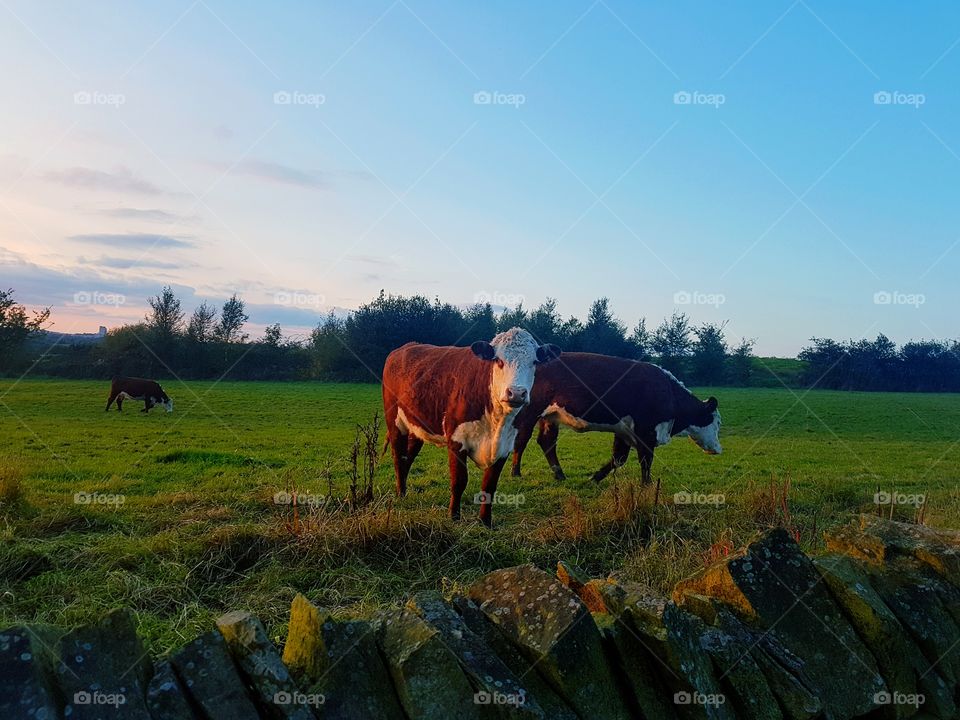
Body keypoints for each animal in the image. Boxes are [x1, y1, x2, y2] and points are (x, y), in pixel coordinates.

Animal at [382, 328, 561, 527]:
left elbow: (489, 485)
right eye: (498, 360)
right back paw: (401, 493)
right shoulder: (456, 440)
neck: (496, 423)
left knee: (408, 456)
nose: (516, 393)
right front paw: (454, 516)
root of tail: (405, 347)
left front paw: (485, 521)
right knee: (398, 456)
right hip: (395, 421)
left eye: (534, 362)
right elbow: (459, 480)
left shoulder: (505, 446)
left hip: (417, 426)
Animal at [510, 353, 720, 484]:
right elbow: (645, 460)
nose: (718, 449)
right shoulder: (646, 432)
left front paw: (594, 478)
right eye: (717, 423)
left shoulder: (625, 430)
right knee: (521, 440)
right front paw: (647, 485)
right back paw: (515, 472)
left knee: (547, 442)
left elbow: (619, 458)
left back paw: (559, 474)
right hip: (529, 412)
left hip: (550, 417)